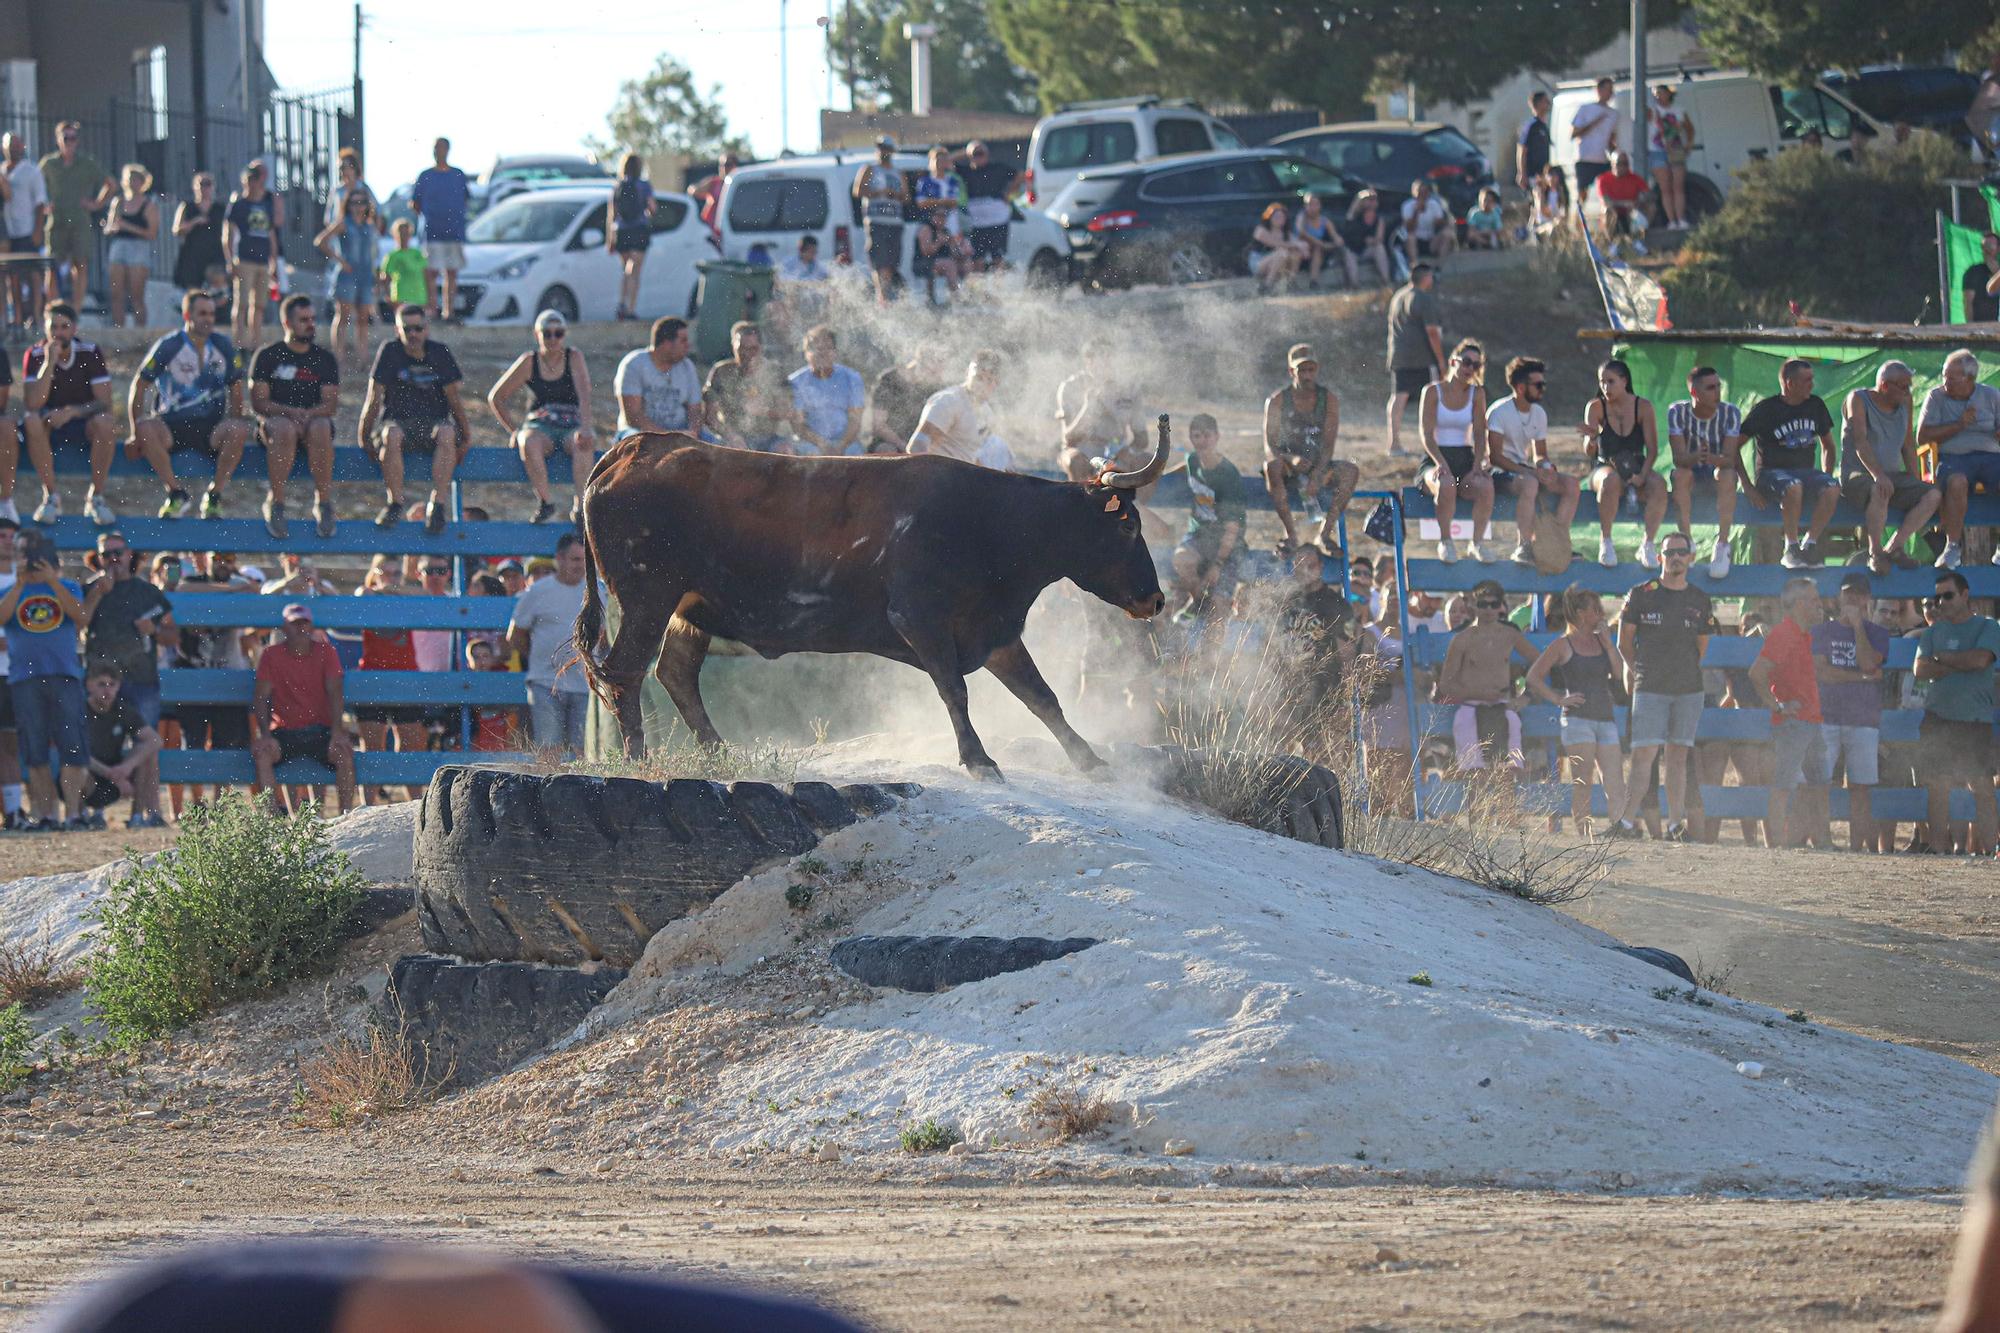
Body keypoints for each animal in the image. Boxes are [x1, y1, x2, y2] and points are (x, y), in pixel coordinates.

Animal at [576, 412, 1168, 768]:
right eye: (1128, 526)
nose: (1155, 599)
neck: (992, 522)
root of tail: (636, 447)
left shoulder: (994, 630)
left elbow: (1042, 697)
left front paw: (1090, 761)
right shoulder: (920, 620)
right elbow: (955, 690)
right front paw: (978, 760)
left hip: (688, 607)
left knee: (674, 672)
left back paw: (721, 753)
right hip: (647, 599)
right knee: (625, 673)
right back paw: (637, 761)